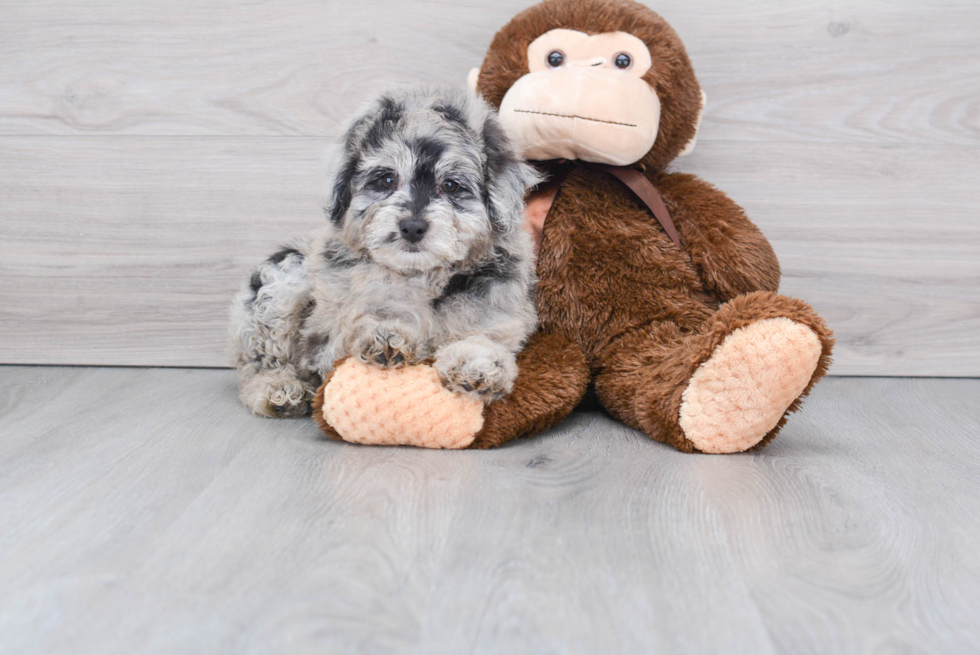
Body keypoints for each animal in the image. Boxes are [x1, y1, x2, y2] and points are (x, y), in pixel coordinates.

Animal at [229, 87, 540, 418]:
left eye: (451, 185)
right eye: (387, 179)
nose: (412, 227)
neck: (420, 275)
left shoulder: (499, 314)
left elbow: (484, 338)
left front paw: (476, 365)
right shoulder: (326, 344)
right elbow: (373, 316)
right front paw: (388, 334)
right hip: (282, 283)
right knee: (260, 361)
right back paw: (280, 389)